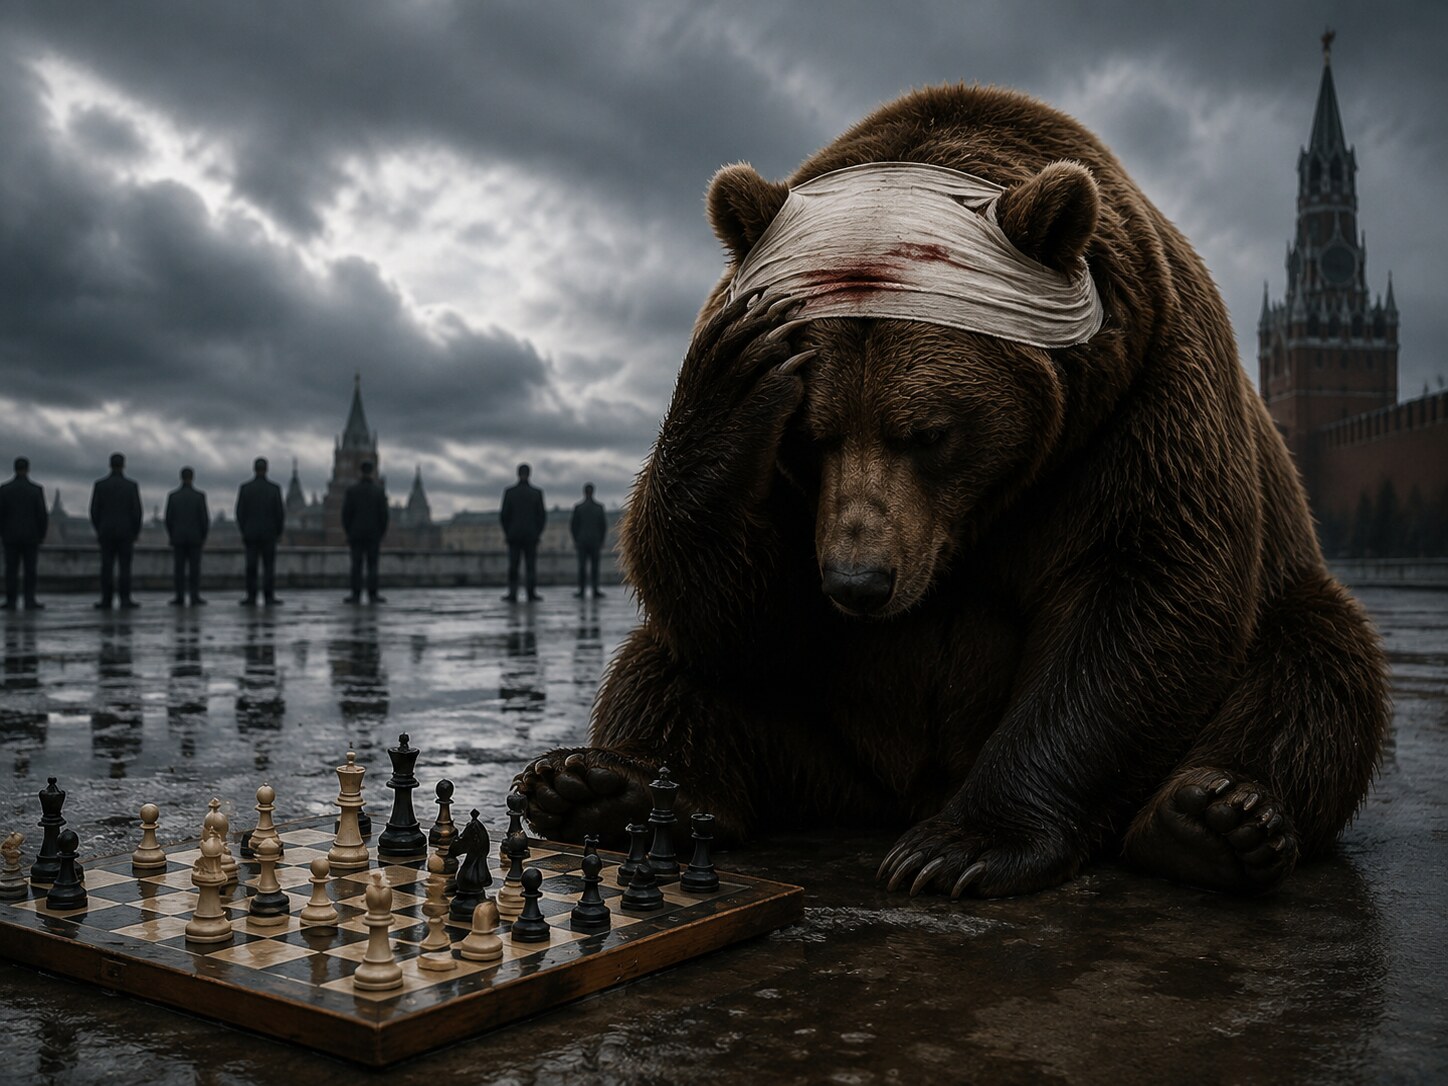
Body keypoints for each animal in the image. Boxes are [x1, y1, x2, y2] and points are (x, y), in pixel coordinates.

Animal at [514, 83, 1389, 898]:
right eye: (813, 435)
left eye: (930, 432)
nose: (859, 582)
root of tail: (893, 791)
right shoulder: (797, 509)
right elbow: (740, 609)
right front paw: (737, 373)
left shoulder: (1142, 394)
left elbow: (1143, 588)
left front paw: (961, 848)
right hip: (829, 751)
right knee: (666, 662)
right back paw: (603, 784)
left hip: (1285, 593)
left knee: (1317, 664)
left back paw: (1215, 818)